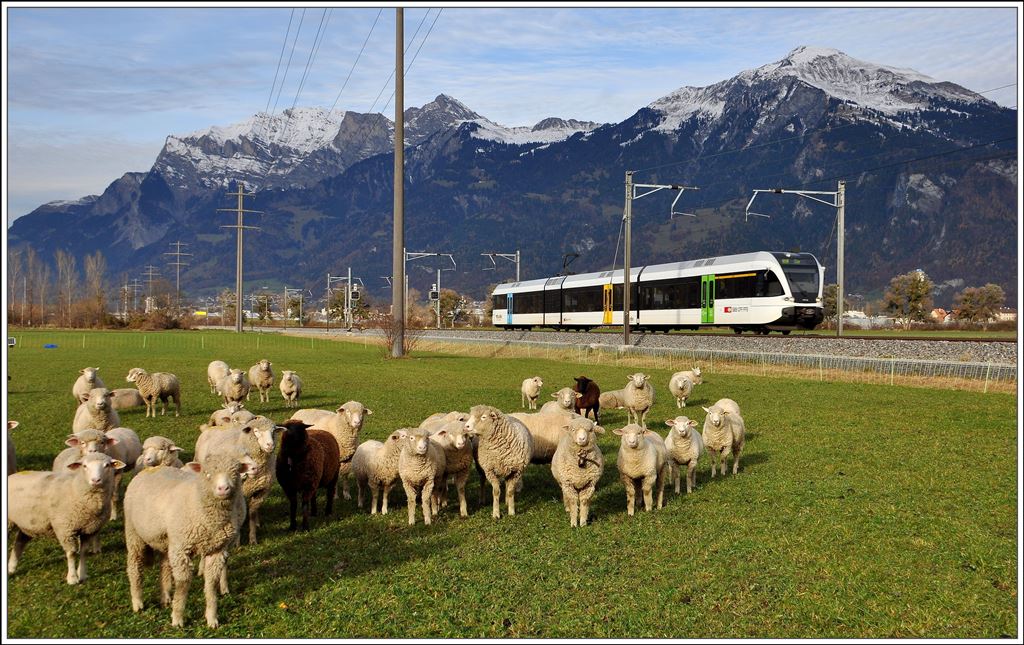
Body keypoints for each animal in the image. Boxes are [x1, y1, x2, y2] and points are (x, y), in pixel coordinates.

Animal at [8, 452, 126, 585]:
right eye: (84, 466)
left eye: (107, 465)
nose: (95, 480)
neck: (75, 489)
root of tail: (11, 476)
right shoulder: (65, 529)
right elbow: (72, 553)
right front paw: (72, 578)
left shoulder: (89, 530)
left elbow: (84, 552)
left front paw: (82, 575)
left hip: (28, 524)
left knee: (19, 542)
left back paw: (11, 568)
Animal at [124, 454, 253, 628]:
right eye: (206, 473)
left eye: (236, 472)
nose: (223, 488)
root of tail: (150, 469)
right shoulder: (182, 548)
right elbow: (183, 584)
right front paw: (177, 619)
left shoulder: (216, 549)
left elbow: (211, 584)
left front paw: (212, 618)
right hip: (134, 534)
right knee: (134, 566)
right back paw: (137, 602)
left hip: (167, 540)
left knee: (165, 565)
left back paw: (165, 597)